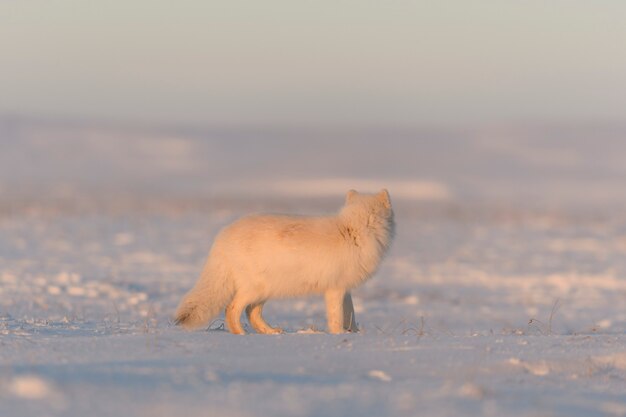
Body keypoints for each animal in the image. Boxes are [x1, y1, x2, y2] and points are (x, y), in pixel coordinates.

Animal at [173, 188, 392, 334]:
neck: (355, 230)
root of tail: (222, 237)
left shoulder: (345, 288)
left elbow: (350, 314)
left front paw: (354, 334)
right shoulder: (335, 289)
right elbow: (336, 317)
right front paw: (338, 335)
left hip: (266, 290)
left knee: (251, 312)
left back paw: (271, 332)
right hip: (256, 289)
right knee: (232, 308)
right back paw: (241, 335)